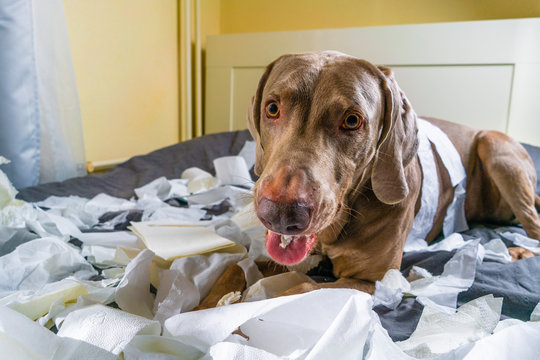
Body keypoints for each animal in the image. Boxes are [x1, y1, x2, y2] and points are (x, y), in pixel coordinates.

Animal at [195, 51, 540, 310]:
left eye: (352, 120)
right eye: (272, 108)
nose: (280, 213)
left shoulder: (372, 282)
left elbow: (301, 289)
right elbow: (234, 266)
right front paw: (200, 312)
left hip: (495, 147)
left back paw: (518, 251)